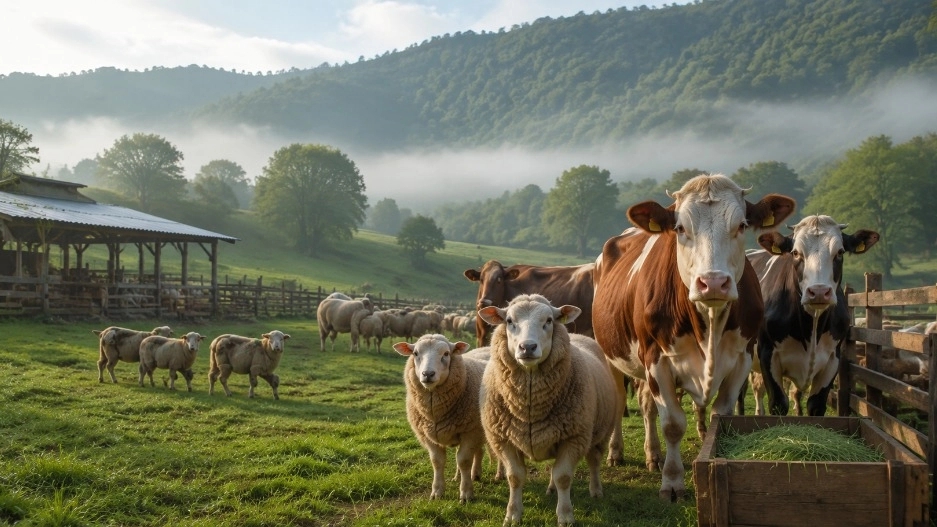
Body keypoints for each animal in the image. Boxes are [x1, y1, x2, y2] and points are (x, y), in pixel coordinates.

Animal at [394, 334, 490, 504]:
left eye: (446, 354)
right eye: (415, 353)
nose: (427, 374)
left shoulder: (470, 432)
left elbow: (464, 460)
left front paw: (466, 493)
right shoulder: (428, 435)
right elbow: (437, 461)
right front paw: (437, 492)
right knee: (479, 451)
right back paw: (471, 474)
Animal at [478, 294, 617, 526]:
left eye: (549, 321)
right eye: (509, 321)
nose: (527, 347)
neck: (530, 407)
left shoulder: (573, 438)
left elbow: (564, 477)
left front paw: (565, 516)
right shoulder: (503, 440)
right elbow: (515, 477)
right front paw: (512, 514)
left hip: (600, 433)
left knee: (594, 461)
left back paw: (596, 490)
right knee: (553, 467)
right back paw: (551, 489)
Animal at [592, 173, 795, 500]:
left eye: (741, 225)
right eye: (680, 228)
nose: (713, 282)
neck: (708, 326)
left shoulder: (741, 359)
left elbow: (719, 417)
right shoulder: (657, 359)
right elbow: (673, 424)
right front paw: (672, 483)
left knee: (647, 405)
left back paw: (653, 455)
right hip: (613, 355)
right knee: (621, 398)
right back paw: (616, 451)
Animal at [747, 215, 879, 416]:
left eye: (840, 252)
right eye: (795, 253)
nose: (818, 292)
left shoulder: (833, 358)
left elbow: (816, 406)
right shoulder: (767, 353)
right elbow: (778, 404)